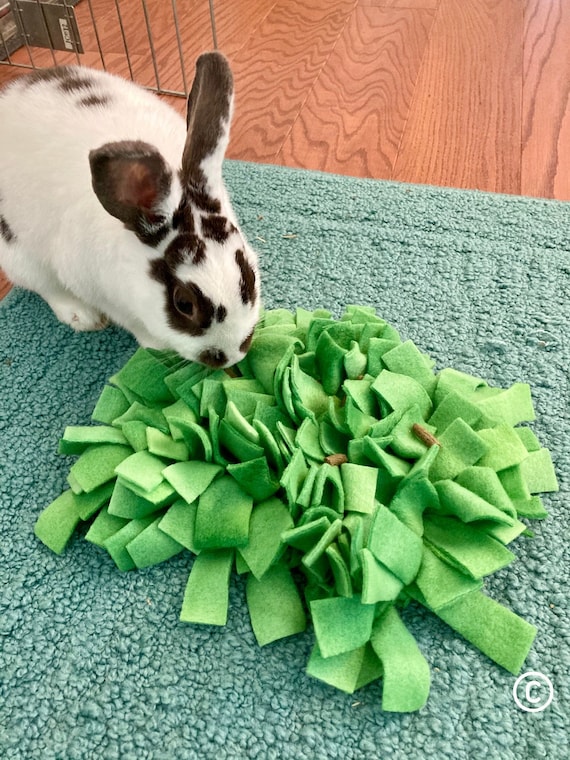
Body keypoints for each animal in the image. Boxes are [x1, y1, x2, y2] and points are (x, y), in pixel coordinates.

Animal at [0, 52, 258, 366]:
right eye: (183, 303)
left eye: (250, 275)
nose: (231, 356)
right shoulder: (99, 292)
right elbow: (135, 325)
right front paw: (157, 347)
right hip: (19, 255)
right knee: (43, 286)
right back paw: (82, 317)